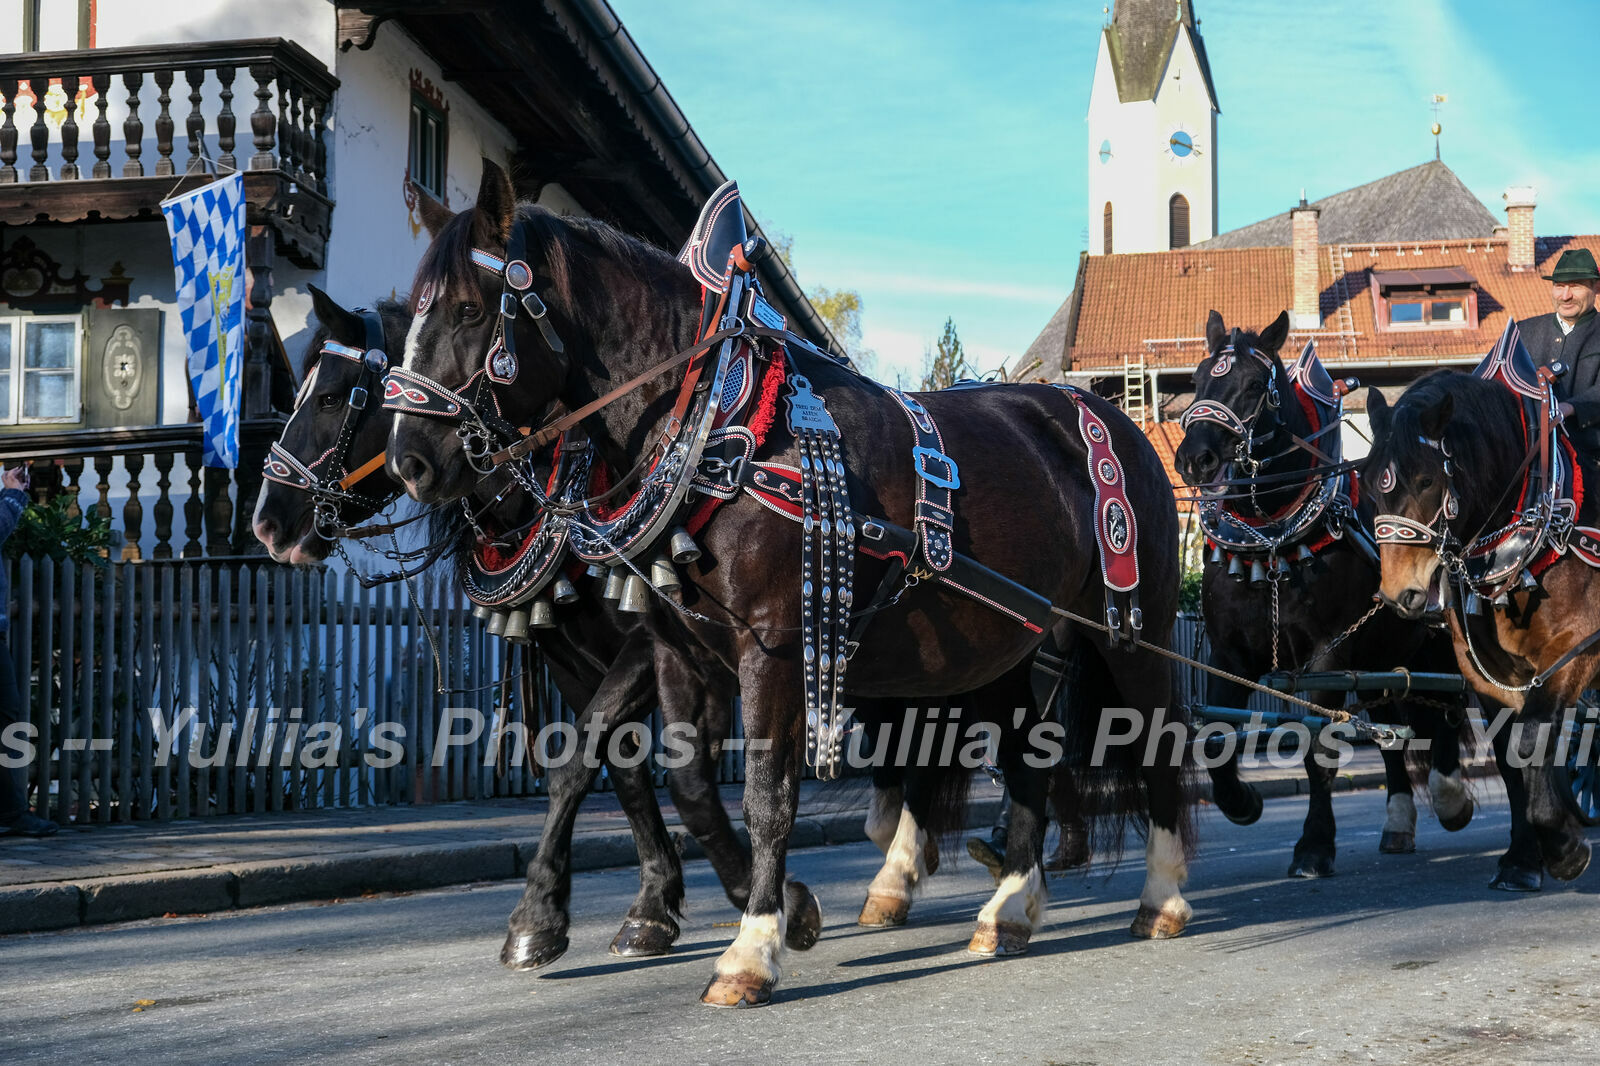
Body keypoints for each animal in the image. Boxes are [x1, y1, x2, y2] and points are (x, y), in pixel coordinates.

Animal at [384, 164, 1190, 1005]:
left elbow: (769, 794)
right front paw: (779, 909)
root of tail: (1110, 415)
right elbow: (682, 783)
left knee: (1160, 736)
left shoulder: (772, 646)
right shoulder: (679, 653)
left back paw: (1161, 896)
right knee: (1031, 754)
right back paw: (1009, 910)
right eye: (412, 315)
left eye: (470, 309)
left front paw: (753, 946)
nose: (411, 460)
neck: (715, 423)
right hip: (1011, 644)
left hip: (1134, 630)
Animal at [1171, 308, 1542, 889]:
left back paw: (1454, 800)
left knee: (1455, 722)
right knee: (1397, 725)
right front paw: (1244, 803)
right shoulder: (1230, 654)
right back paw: (1400, 820)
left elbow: (1319, 747)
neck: (1274, 539)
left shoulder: (1326, 656)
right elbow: (1213, 738)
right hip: (1384, 655)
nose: (1196, 459)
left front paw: (1313, 845)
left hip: (1437, 644)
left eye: (1253, 386)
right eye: (1199, 378)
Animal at [1369, 369, 1593, 883]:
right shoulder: (1488, 675)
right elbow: (1512, 756)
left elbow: (1532, 737)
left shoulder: (1576, 648)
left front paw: (1563, 848)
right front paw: (1525, 856)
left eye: (1427, 479)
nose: (1398, 594)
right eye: (1371, 484)